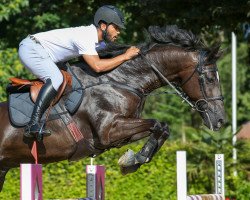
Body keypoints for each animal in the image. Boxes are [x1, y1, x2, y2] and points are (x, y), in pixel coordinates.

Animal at [0, 25, 225, 191]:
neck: (122, 81)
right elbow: (157, 124)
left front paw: (134, 160)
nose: (221, 120)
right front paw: (134, 159)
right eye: (210, 78)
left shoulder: (121, 133)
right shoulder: (109, 130)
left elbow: (161, 128)